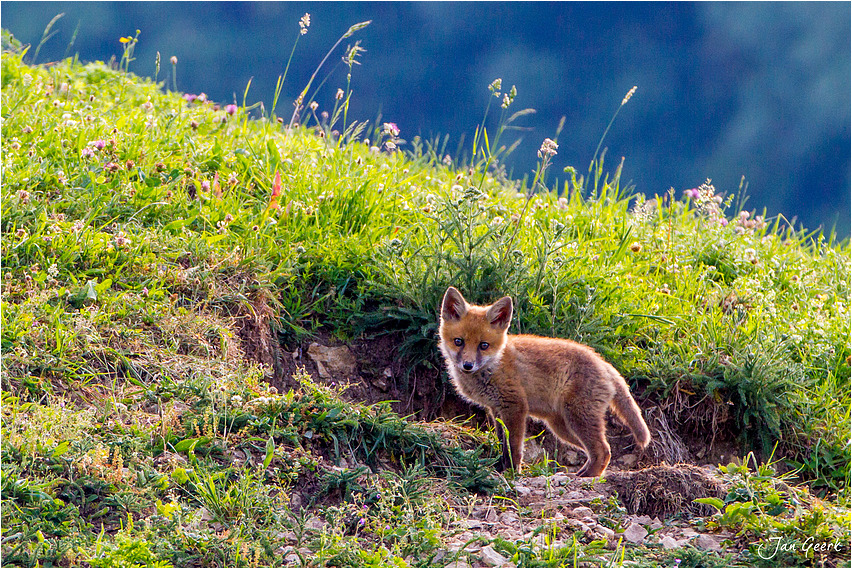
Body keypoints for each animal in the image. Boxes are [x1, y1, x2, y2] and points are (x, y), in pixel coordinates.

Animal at [440, 286, 652, 478]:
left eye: (483, 345)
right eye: (458, 341)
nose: (467, 365)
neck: (494, 364)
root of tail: (604, 362)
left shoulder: (515, 407)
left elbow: (514, 447)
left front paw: (512, 472)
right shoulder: (496, 409)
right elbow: (503, 443)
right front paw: (501, 468)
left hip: (578, 419)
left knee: (603, 450)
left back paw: (587, 476)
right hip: (562, 427)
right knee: (599, 451)